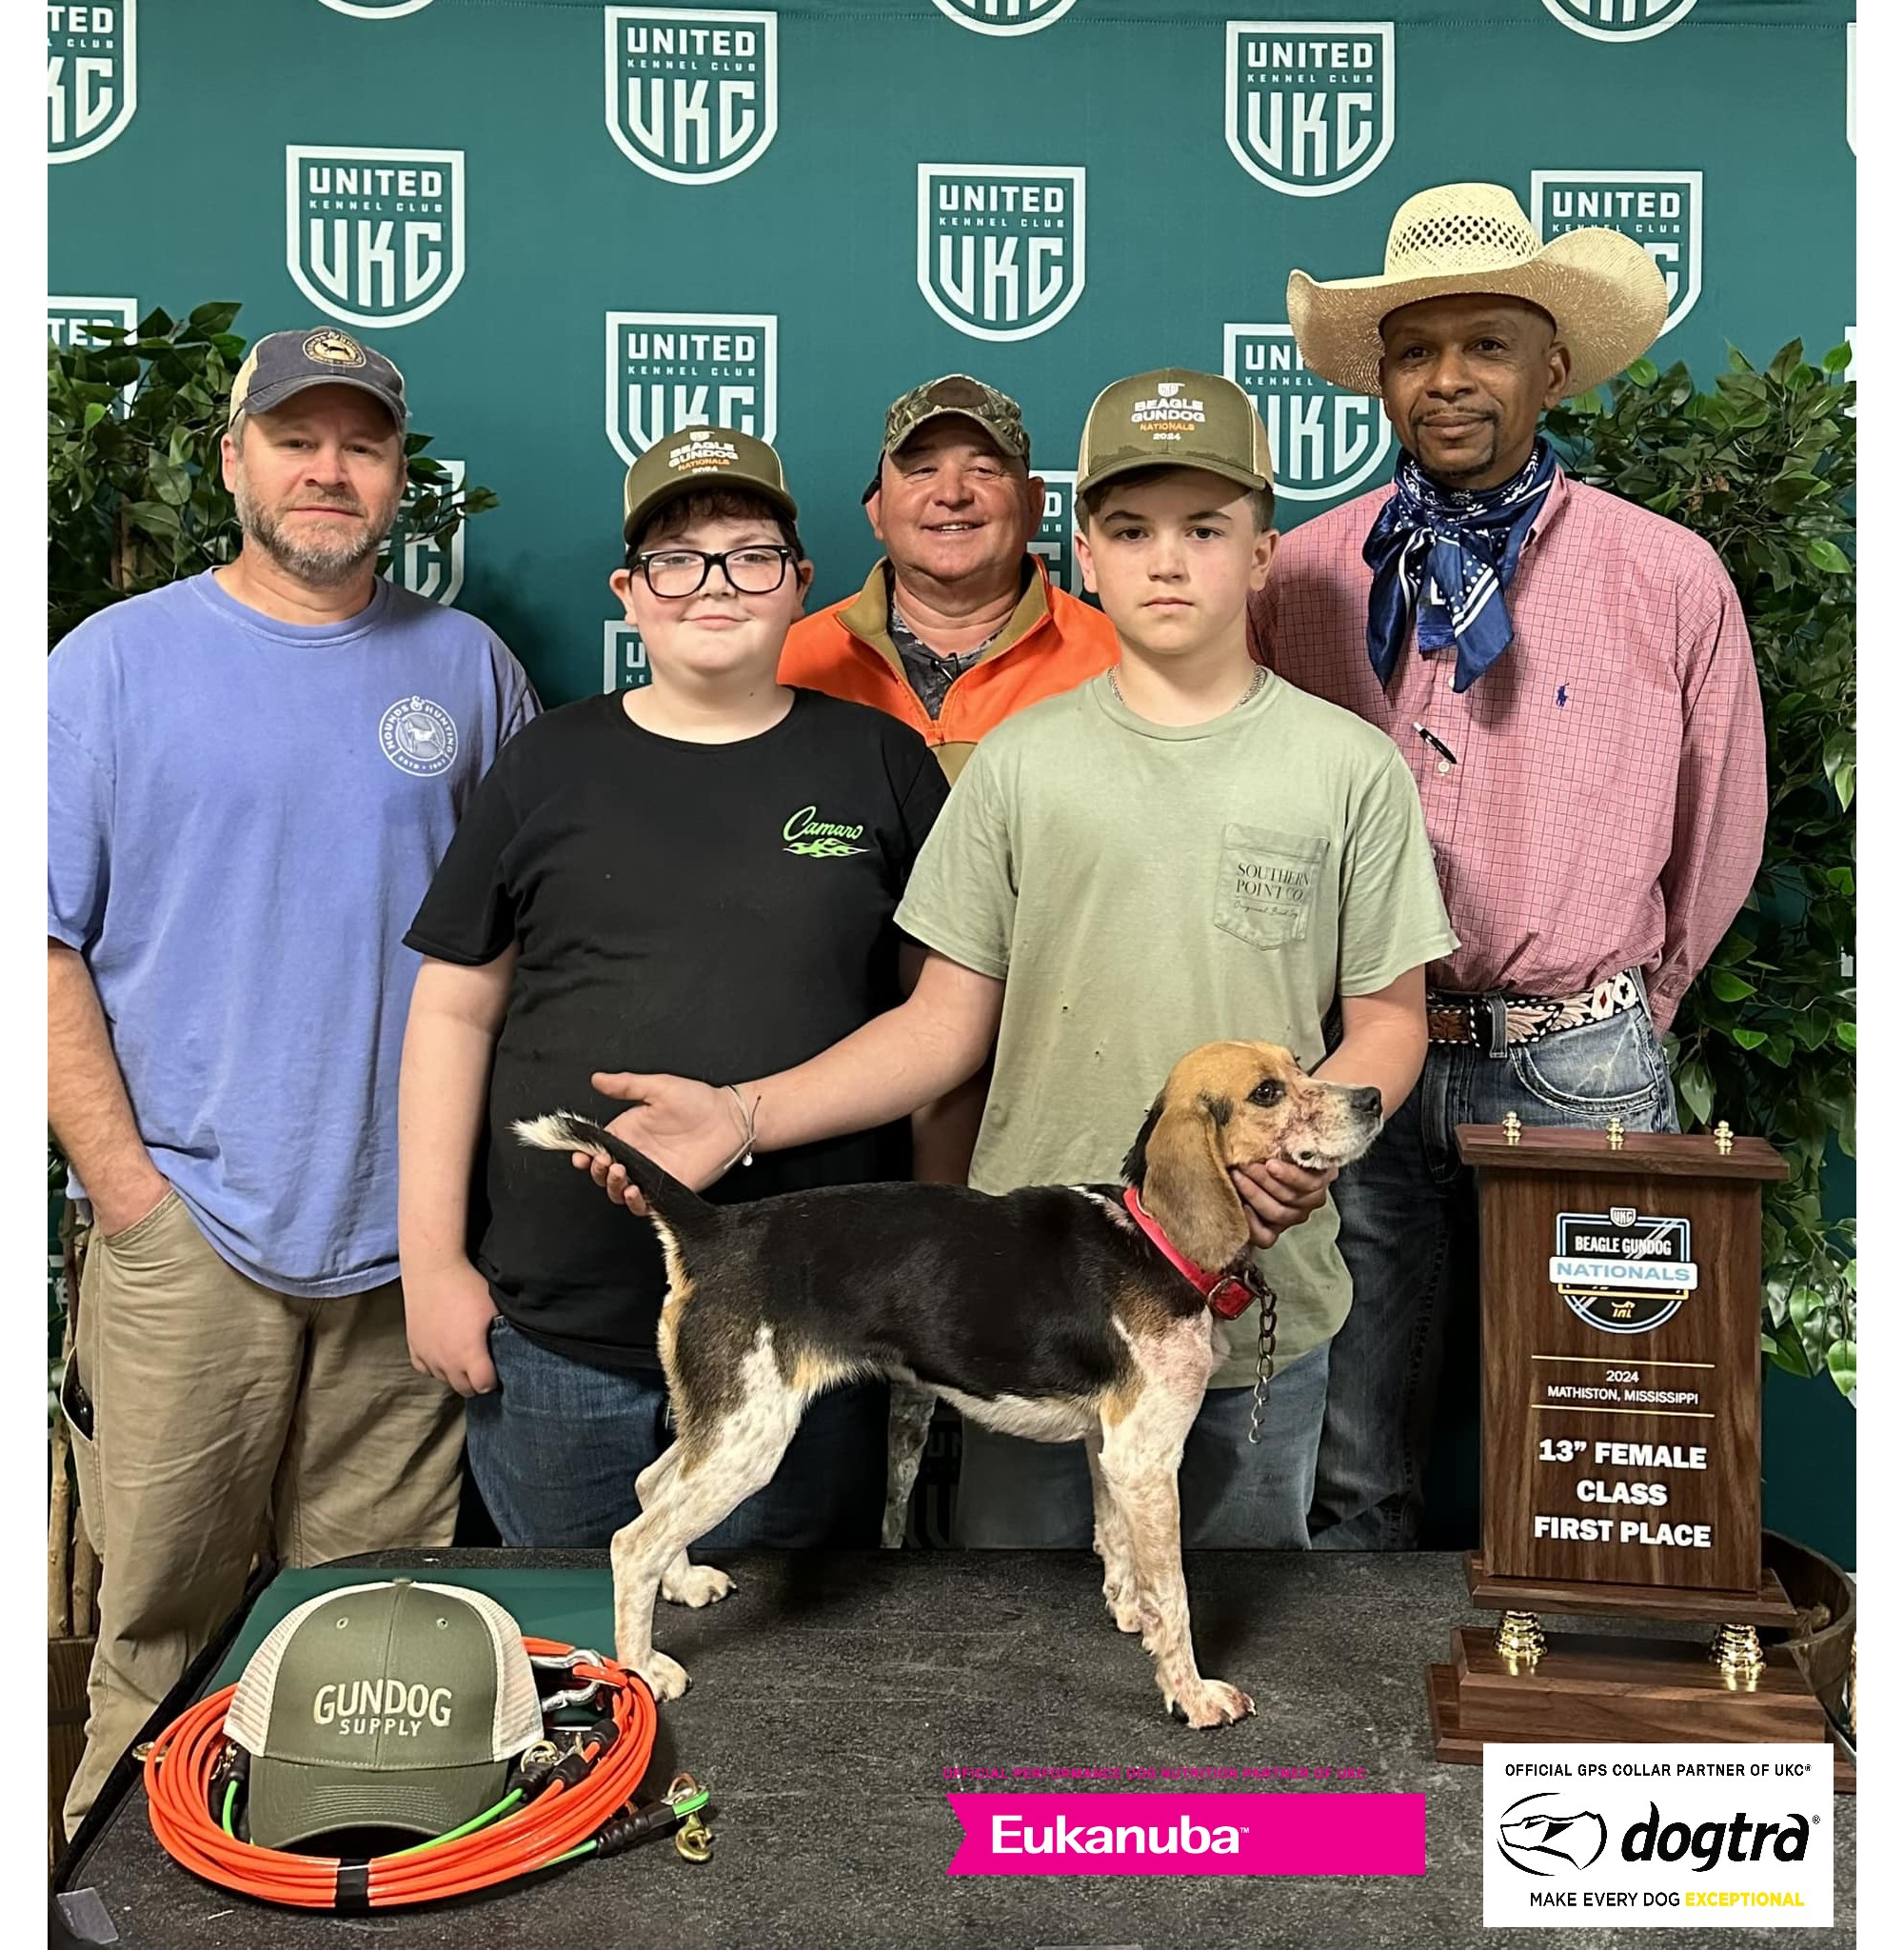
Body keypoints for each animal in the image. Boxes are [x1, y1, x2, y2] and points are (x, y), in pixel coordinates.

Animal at [514, 1045, 1379, 1731]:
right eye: (1267, 1092)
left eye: (1301, 1063)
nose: (1371, 1097)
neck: (1154, 1240)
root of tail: (715, 1229)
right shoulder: (1148, 1458)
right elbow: (1179, 1596)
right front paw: (1191, 1692)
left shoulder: (1112, 1450)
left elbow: (1119, 1548)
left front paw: (1129, 1612)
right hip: (748, 1437)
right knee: (631, 1542)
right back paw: (642, 1668)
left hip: (722, 1421)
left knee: (650, 1487)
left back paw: (685, 1581)